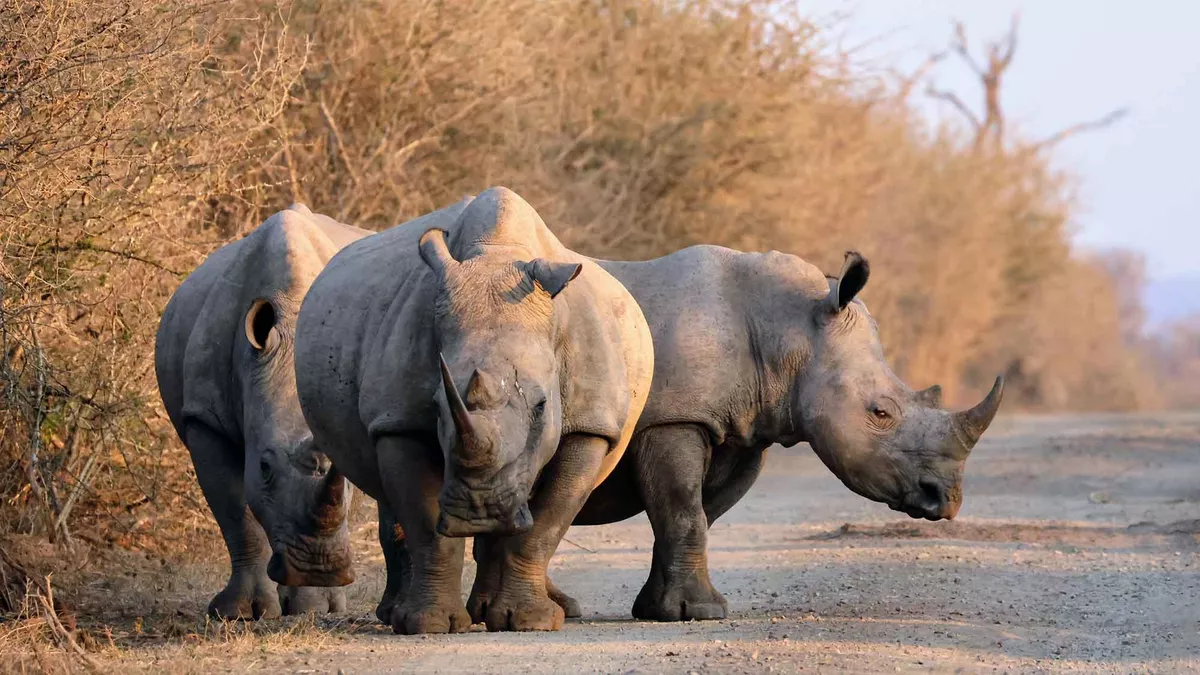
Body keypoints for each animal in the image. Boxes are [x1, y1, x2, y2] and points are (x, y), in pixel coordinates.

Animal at [155, 205, 369, 619]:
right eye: (265, 467)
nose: (318, 568)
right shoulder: (206, 417)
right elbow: (236, 513)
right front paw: (239, 612)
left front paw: (312, 607)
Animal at [294, 187, 654, 634]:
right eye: (436, 406)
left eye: (542, 405)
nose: (478, 509)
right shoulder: (399, 421)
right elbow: (426, 524)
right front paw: (429, 624)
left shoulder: (591, 426)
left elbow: (546, 524)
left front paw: (531, 622)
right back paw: (400, 613)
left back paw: (493, 612)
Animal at [463, 246, 1003, 621]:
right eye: (881, 412)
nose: (945, 499)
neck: (790, 332)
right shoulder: (675, 417)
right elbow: (686, 512)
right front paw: (697, 613)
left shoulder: (746, 432)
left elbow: (696, 513)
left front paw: (661, 608)